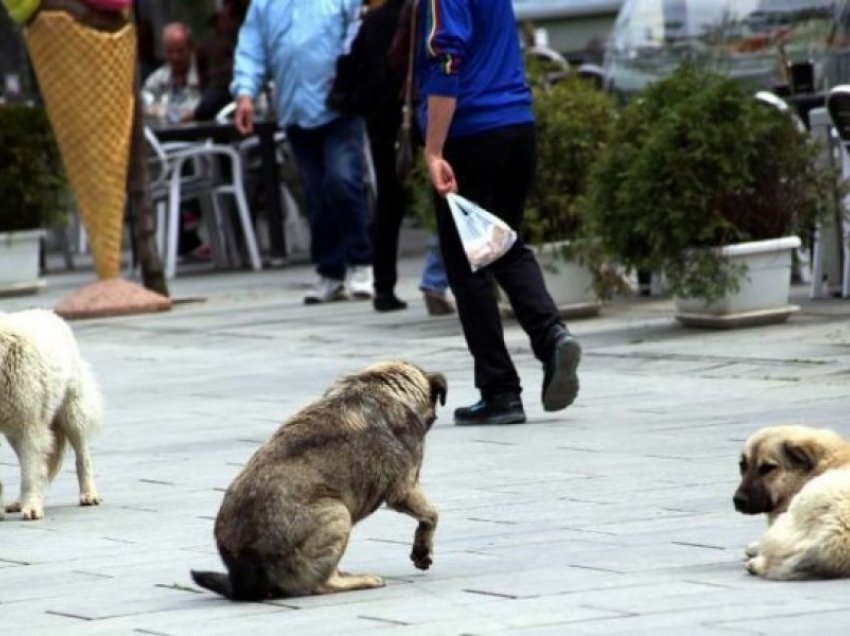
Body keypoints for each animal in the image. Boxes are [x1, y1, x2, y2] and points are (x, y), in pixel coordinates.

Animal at [0, 310, 102, 520]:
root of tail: (50, 313)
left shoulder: (31, 427)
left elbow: (30, 474)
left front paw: (32, 508)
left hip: (71, 414)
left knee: (82, 458)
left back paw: (89, 495)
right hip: (14, 433)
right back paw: (18, 503)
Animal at [190, 360, 448, 600]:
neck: (381, 382)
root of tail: (241, 578)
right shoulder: (405, 489)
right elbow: (431, 515)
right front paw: (423, 550)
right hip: (338, 514)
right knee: (320, 584)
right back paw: (358, 580)